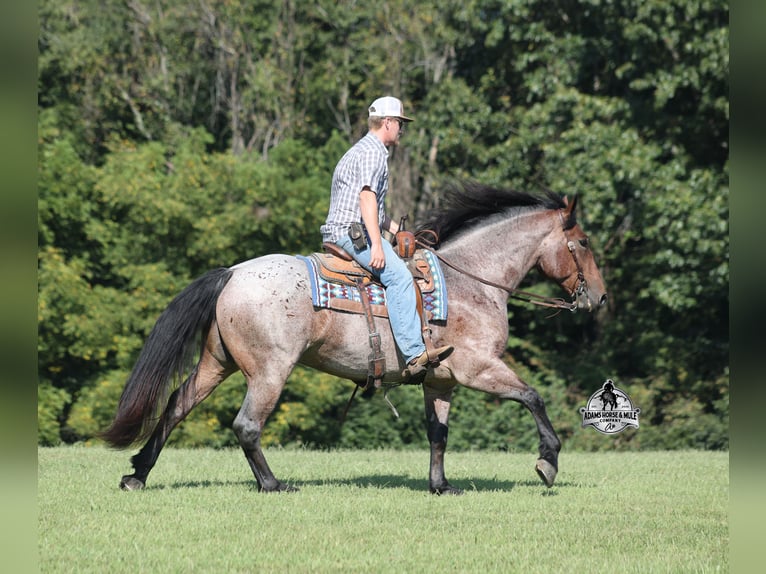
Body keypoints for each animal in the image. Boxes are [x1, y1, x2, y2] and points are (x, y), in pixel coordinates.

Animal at [101, 182, 607, 494]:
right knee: (246, 425)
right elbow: (532, 396)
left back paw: (138, 474)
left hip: (216, 363)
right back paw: (273, 484)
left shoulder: (440, 380)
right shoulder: (477, 367)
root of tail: (233, 273)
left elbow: (438, 434)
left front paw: (440, 485)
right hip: (269, 371)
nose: (599, 297)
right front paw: (548, 461)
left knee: (175, 407)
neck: (471, 282)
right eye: (583, 242)